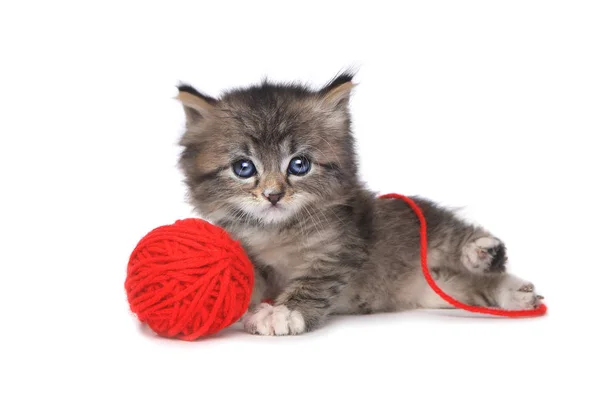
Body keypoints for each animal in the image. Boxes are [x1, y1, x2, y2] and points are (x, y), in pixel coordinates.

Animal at [173, 72, 544, 334]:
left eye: (299, 165)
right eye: (244, 168)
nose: (273, 195)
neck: (277, 231)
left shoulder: (340, 249)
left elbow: (313, 284)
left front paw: (284, 312)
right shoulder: (246, 253)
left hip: (429, 228)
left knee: (464, 242)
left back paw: (484, 254)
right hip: (441, 290)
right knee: (474, 286)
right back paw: (518, 295)